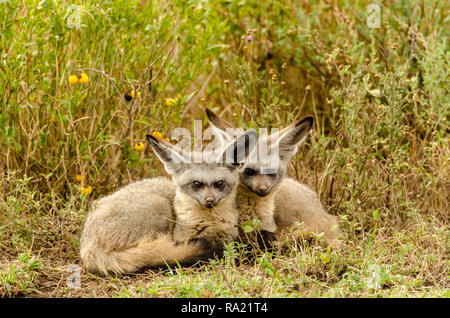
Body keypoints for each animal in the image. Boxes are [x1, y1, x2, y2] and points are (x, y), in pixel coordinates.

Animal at [80, 130, 256, 274]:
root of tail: (88, 244)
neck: (211, 223)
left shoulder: (228, 238)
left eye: (219, 183)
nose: (209, 201)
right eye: (197, 184)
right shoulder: (181, 237)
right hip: (160, 206)